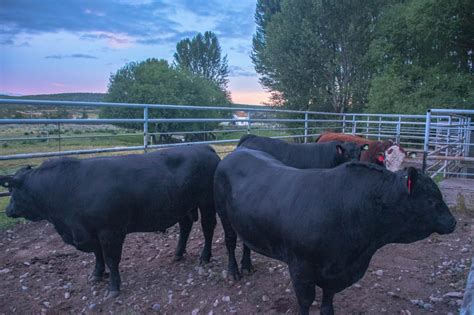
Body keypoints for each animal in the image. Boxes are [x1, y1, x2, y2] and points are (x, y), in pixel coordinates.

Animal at [0, 146, 221, 298]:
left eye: (12, 190)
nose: (8, 210)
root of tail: (204, 147)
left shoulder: (110, 231)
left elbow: (111, 259)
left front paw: (113, 287)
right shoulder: (90, 232)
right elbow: (98, 255)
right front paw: (96, 274)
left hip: (207, 202)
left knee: (208, 228)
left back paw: (204, 256)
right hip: (181, 205)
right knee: (185, 226)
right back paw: (177, 253)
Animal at [215, 149, 456, 315]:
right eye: (432, 200)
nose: (452, 222)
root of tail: (236, 152)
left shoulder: (335, 273)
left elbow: (327, 303)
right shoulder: (300, 267)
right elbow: (305, 302)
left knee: (246, 242)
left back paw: (247, 266)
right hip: (224, 215)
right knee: (230, 241)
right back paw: (234, 271)